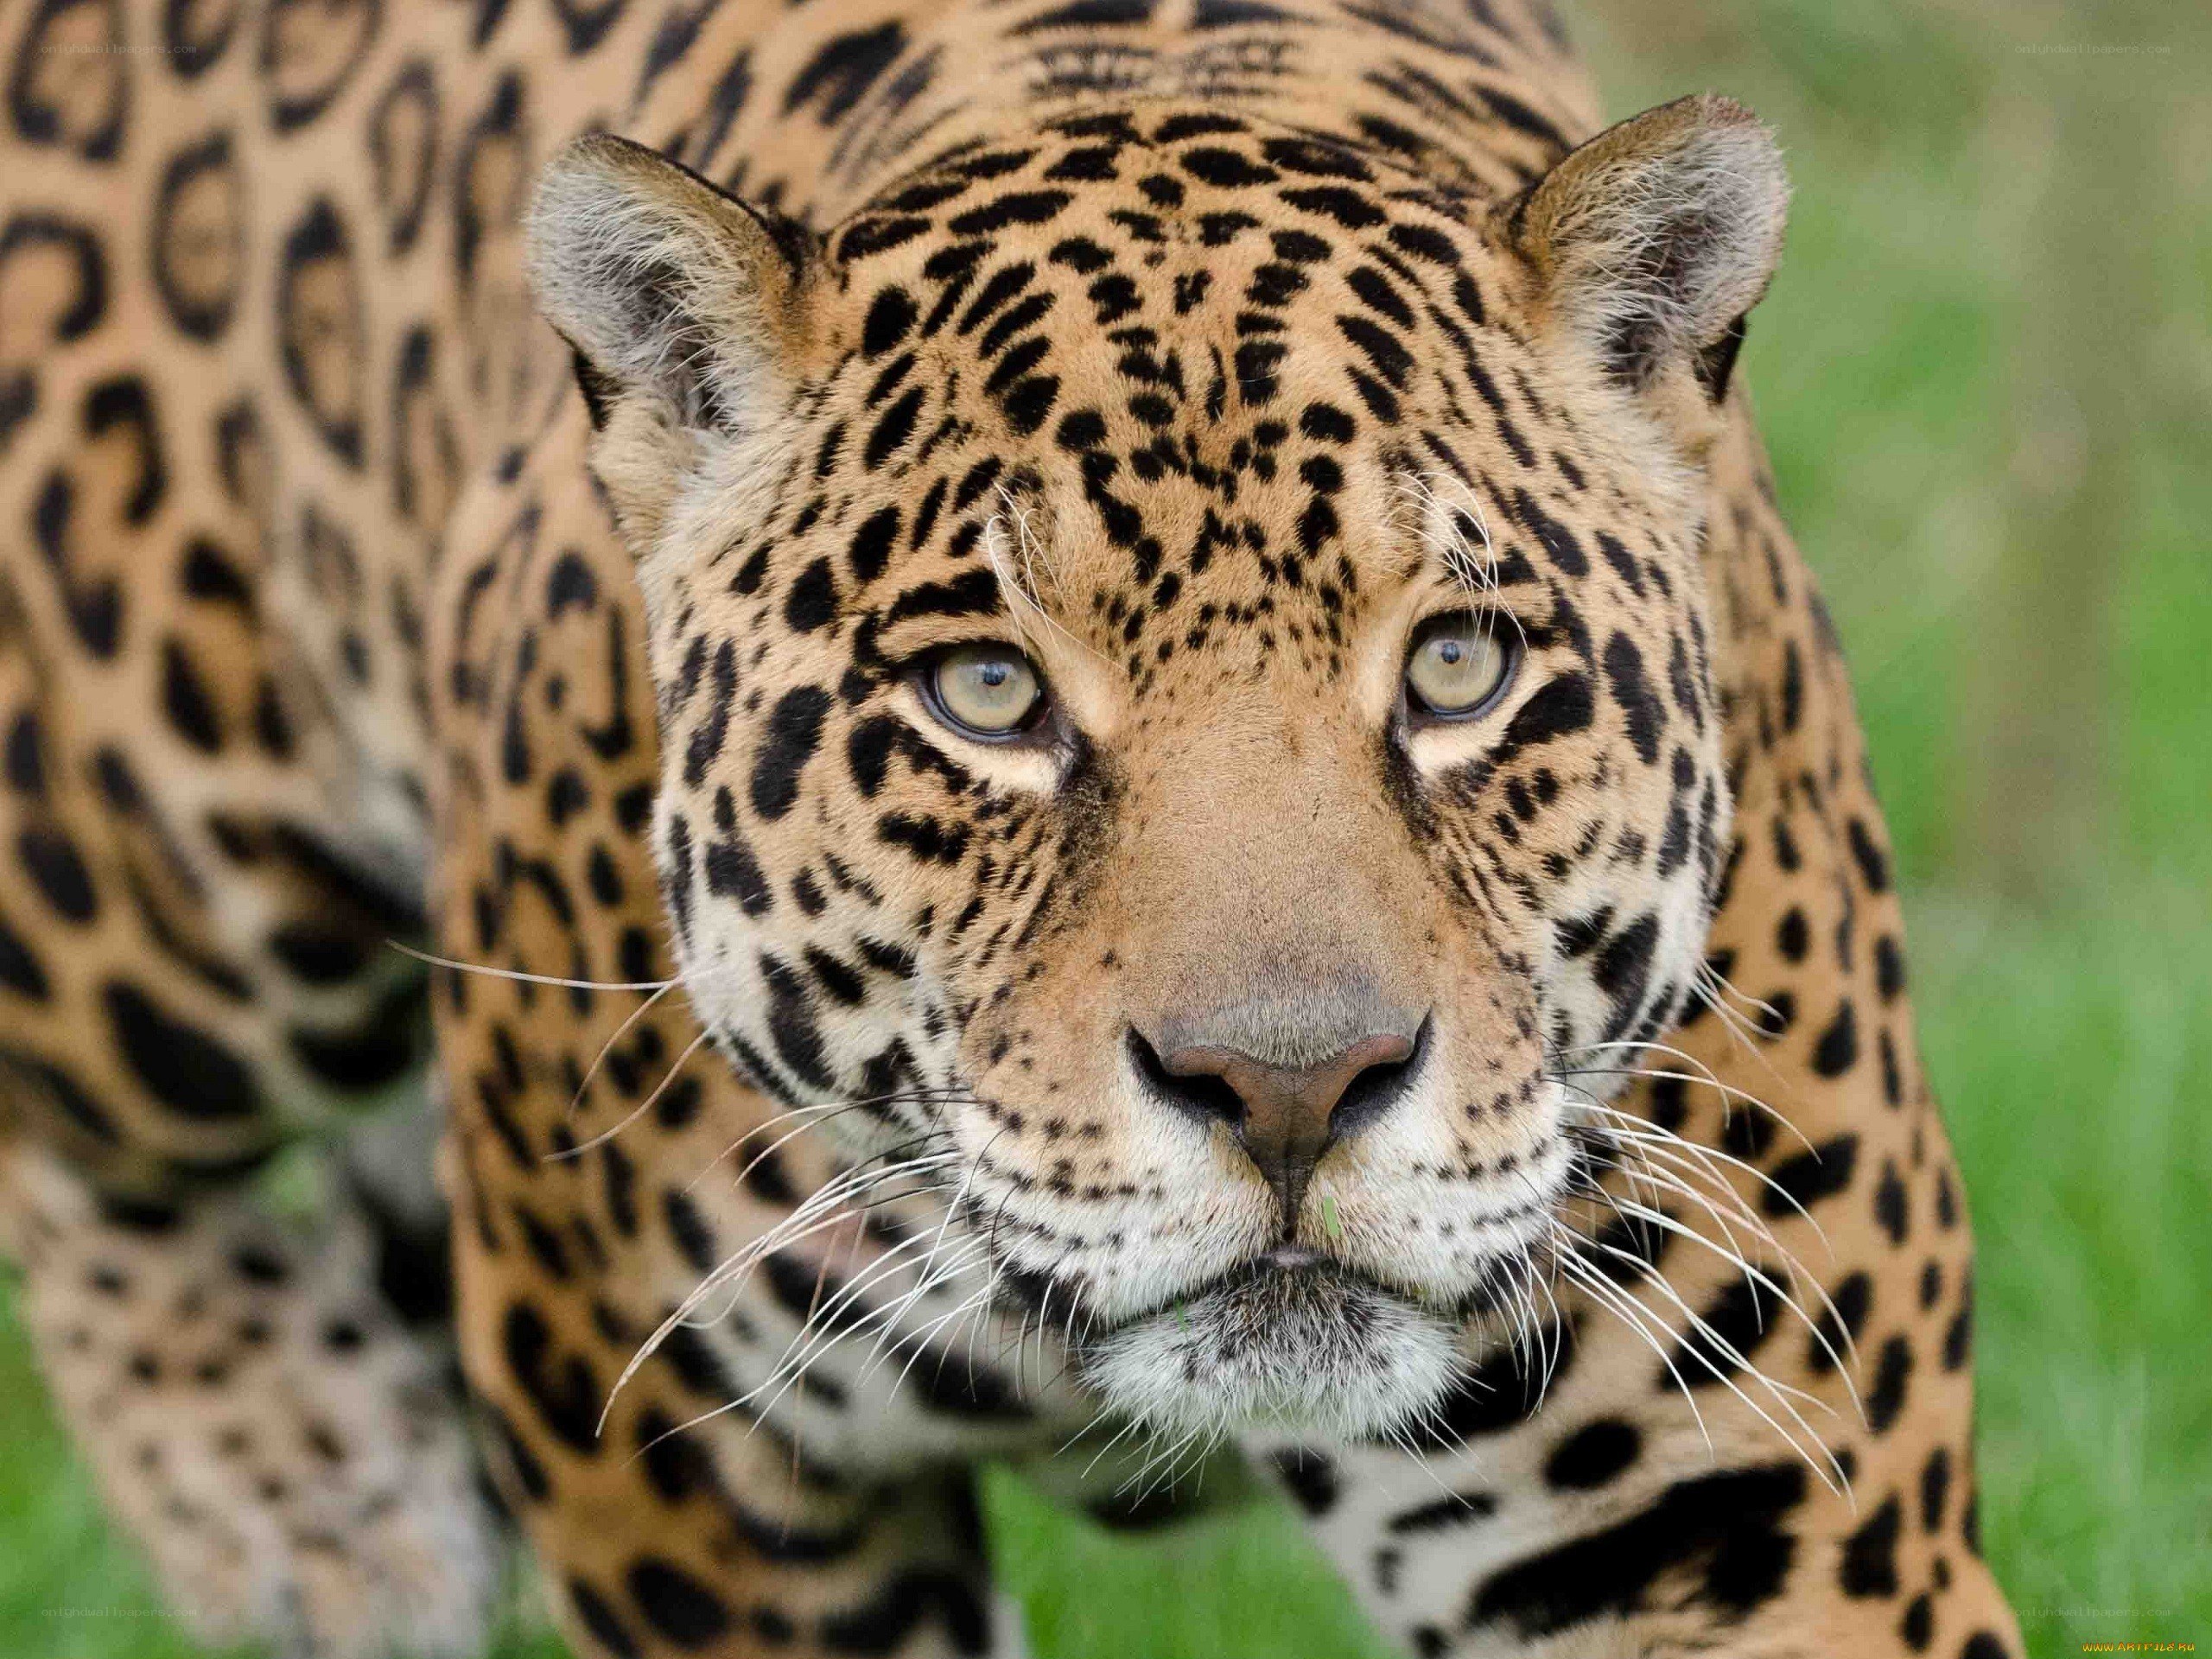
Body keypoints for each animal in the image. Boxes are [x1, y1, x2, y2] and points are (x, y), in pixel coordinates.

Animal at [0, 0, 2027, 1656]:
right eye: (986, 693)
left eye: (1457, 664)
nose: (1288, 1088)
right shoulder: (693, 1506)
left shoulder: (1744, 1530)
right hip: (170, 851)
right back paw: (308, 1502)